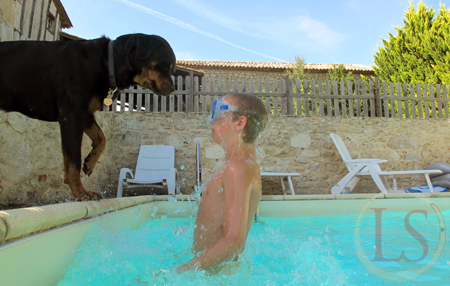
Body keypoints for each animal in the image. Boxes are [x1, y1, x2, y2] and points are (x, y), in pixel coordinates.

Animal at [0, 33, 177, 200]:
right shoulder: (72, 116)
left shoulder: (84, 115)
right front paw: (81, 193)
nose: (174, 89)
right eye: (166, 66)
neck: (108, 62)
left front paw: (90, 162)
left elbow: (101, 138)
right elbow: (73, 163)